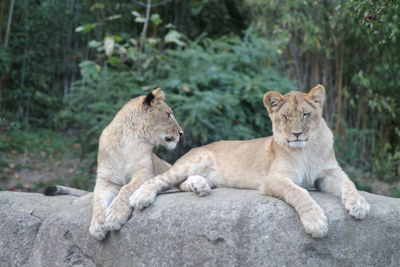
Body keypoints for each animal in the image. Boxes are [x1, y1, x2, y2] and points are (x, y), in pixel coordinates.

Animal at [128, 85, 368, 239]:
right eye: (286, 117)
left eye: (306, 114)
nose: (297, 134)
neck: (306, 150)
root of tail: (194, 149)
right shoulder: (274, 179)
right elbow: (299, 192)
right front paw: (316, 222)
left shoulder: (330, 173)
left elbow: (349, 184)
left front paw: (359, 205)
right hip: (194, 161)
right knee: (160, 180)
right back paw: (140, 197)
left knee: (181, 184)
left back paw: (200, 187)